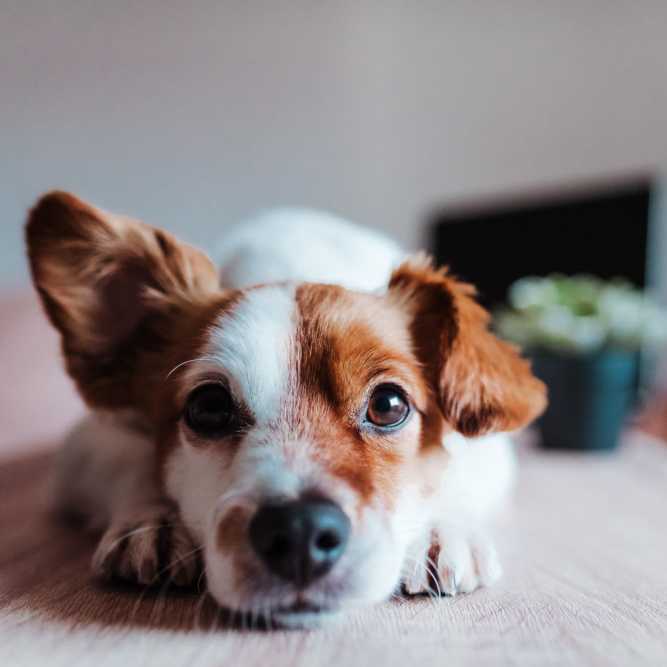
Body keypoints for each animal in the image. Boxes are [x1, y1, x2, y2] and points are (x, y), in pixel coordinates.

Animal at [26, 192, 548, 628]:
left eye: (388, 404)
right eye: (208, 407)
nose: (299, 532)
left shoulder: (490, 449)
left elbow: (455, 470)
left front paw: (441, 528)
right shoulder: (88, 440)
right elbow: (132, 460)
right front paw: (153, 520)